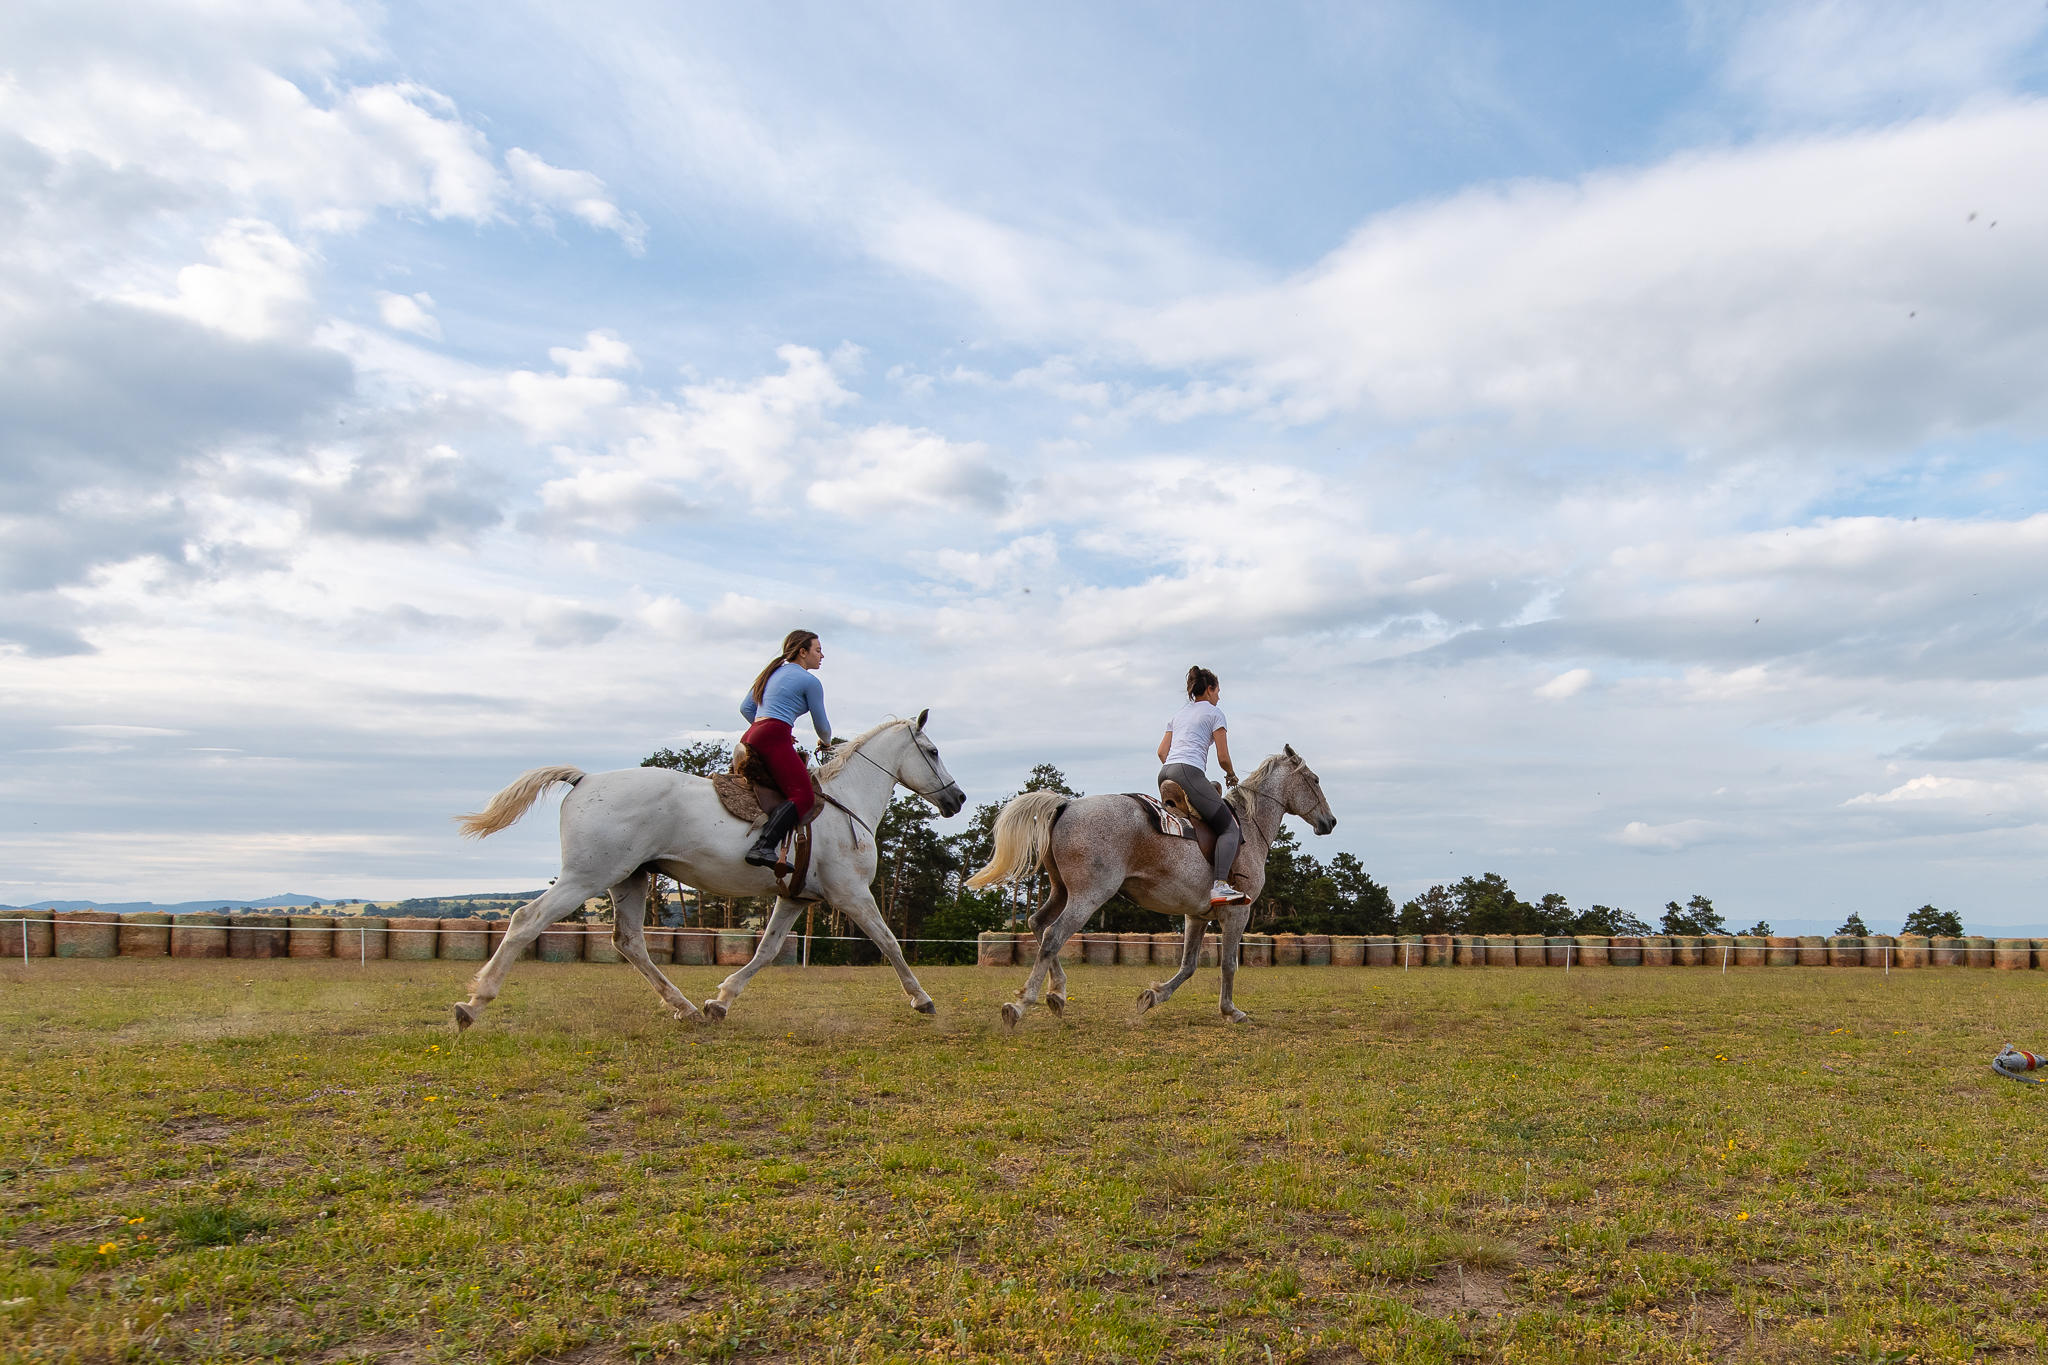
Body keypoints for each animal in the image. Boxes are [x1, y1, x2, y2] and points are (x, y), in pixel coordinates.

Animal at [448, 716, 958, 1023]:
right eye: (932, 751)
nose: (957, 798)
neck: (846, 802)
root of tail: (585, 779)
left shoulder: (795, 898)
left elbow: (766, 952)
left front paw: (720, 1000)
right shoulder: (851, 894)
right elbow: (889, 942)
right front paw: (922, 999)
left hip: (629, 879)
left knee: (629, 943)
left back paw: (687, 1007)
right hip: (586, 877)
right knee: (526, 920)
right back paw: (475, 1003)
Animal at [966, 749, 1335, 1023]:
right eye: (1316, 780)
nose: (1330, 821)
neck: (1248, 826)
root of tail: (1067, 804)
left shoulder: (1196, 916)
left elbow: (1188, 965)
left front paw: (1153, 996)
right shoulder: (1237, 913)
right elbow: (1229, 964)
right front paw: (1230, 1011)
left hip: (1061, 891)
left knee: (1038, 925)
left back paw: (1057, 993)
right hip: (1088, 895)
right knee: (1053, 936)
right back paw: (1021, 1004)